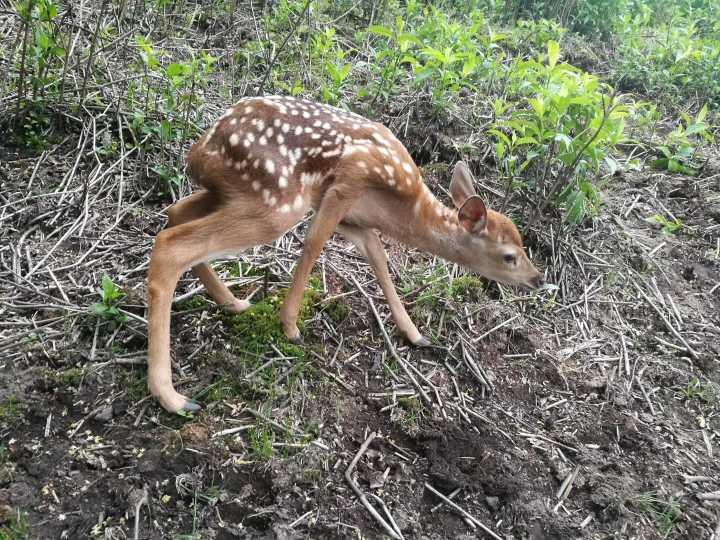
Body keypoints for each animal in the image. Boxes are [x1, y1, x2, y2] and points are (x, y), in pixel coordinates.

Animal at [147, 95, 545, 413]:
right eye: (509, 255)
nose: (538, 278)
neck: (404, 209)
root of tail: (199, 148)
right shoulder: (347, 182)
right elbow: (313, 244)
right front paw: (290, 327)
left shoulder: (356, 221)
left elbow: (379, 258)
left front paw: (414, 333)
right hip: (275, 201)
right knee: (171, 245)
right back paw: (173, 397)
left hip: (231, 193)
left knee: (175, 213)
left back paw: (232, 302)